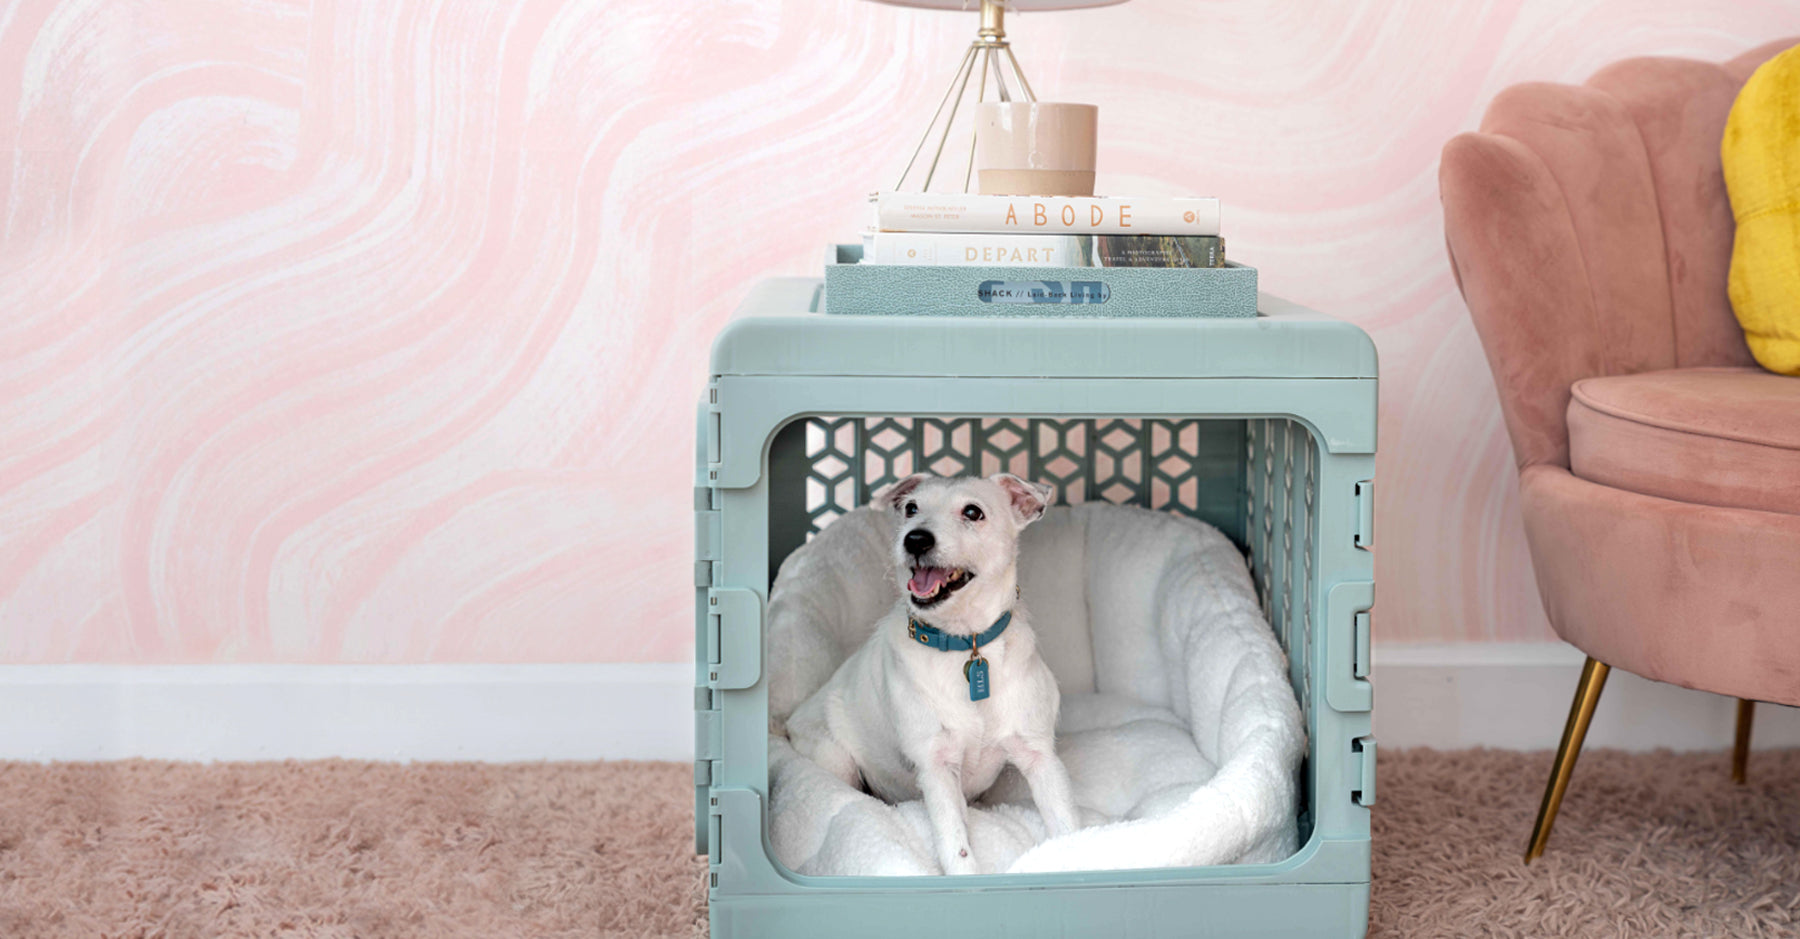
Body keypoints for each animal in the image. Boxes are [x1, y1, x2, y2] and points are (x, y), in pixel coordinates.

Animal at [792, 471, 1080, 874]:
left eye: (973, 512)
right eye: (911, 509)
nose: (915, 538)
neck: (966, 644)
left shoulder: (1040, 757)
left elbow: (1067, 824)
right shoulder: (937, 767)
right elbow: (956, 845)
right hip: (833, 757)